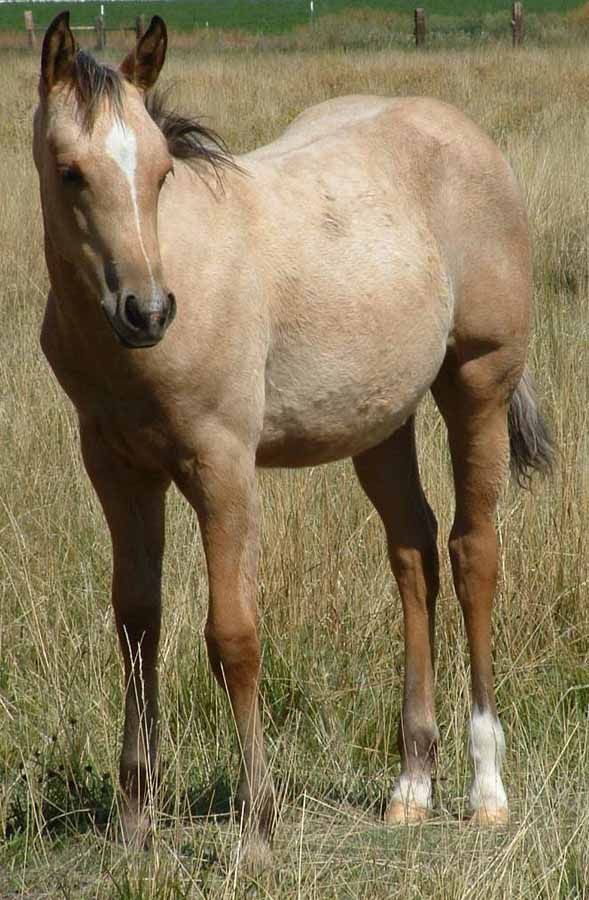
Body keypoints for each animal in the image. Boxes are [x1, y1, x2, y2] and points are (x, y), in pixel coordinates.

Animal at [34, 12, 553, 851]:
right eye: (70, 171)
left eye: (161, 172)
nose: (147, 311)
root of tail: (467, 135)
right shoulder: (116, 467)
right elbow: (137, 624)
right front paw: (135, 823)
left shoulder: (222, 465)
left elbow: (232, 636)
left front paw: (257, 831)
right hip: (380, 418)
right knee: (413, 553)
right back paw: (411, 783)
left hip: (478, 381)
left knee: (472, 553)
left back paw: (484, 786)